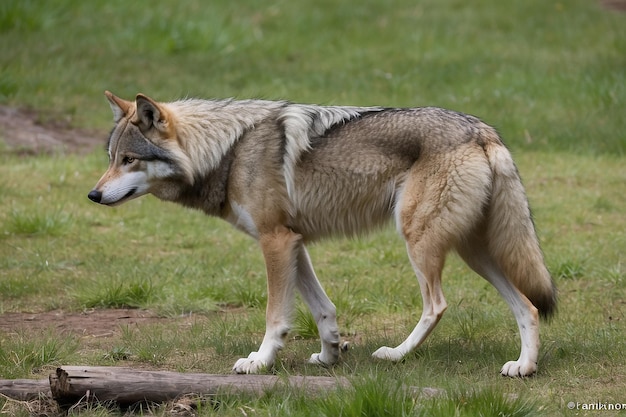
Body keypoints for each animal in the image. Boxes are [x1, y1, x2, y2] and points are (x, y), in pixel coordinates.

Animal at [88, 92, 556, 376]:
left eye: (129, 160)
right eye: (111, 158)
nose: (93, 194)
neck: (229, 152)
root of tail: (482, 130)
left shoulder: (275, 241)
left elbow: (276, 317)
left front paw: (259, 362)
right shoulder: (295, 243)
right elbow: (323, 310)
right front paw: (330, 353)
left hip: (420, 242)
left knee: (437, 305)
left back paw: (396, 354)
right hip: (473, 252)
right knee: (529, 306)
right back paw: (523, 367)